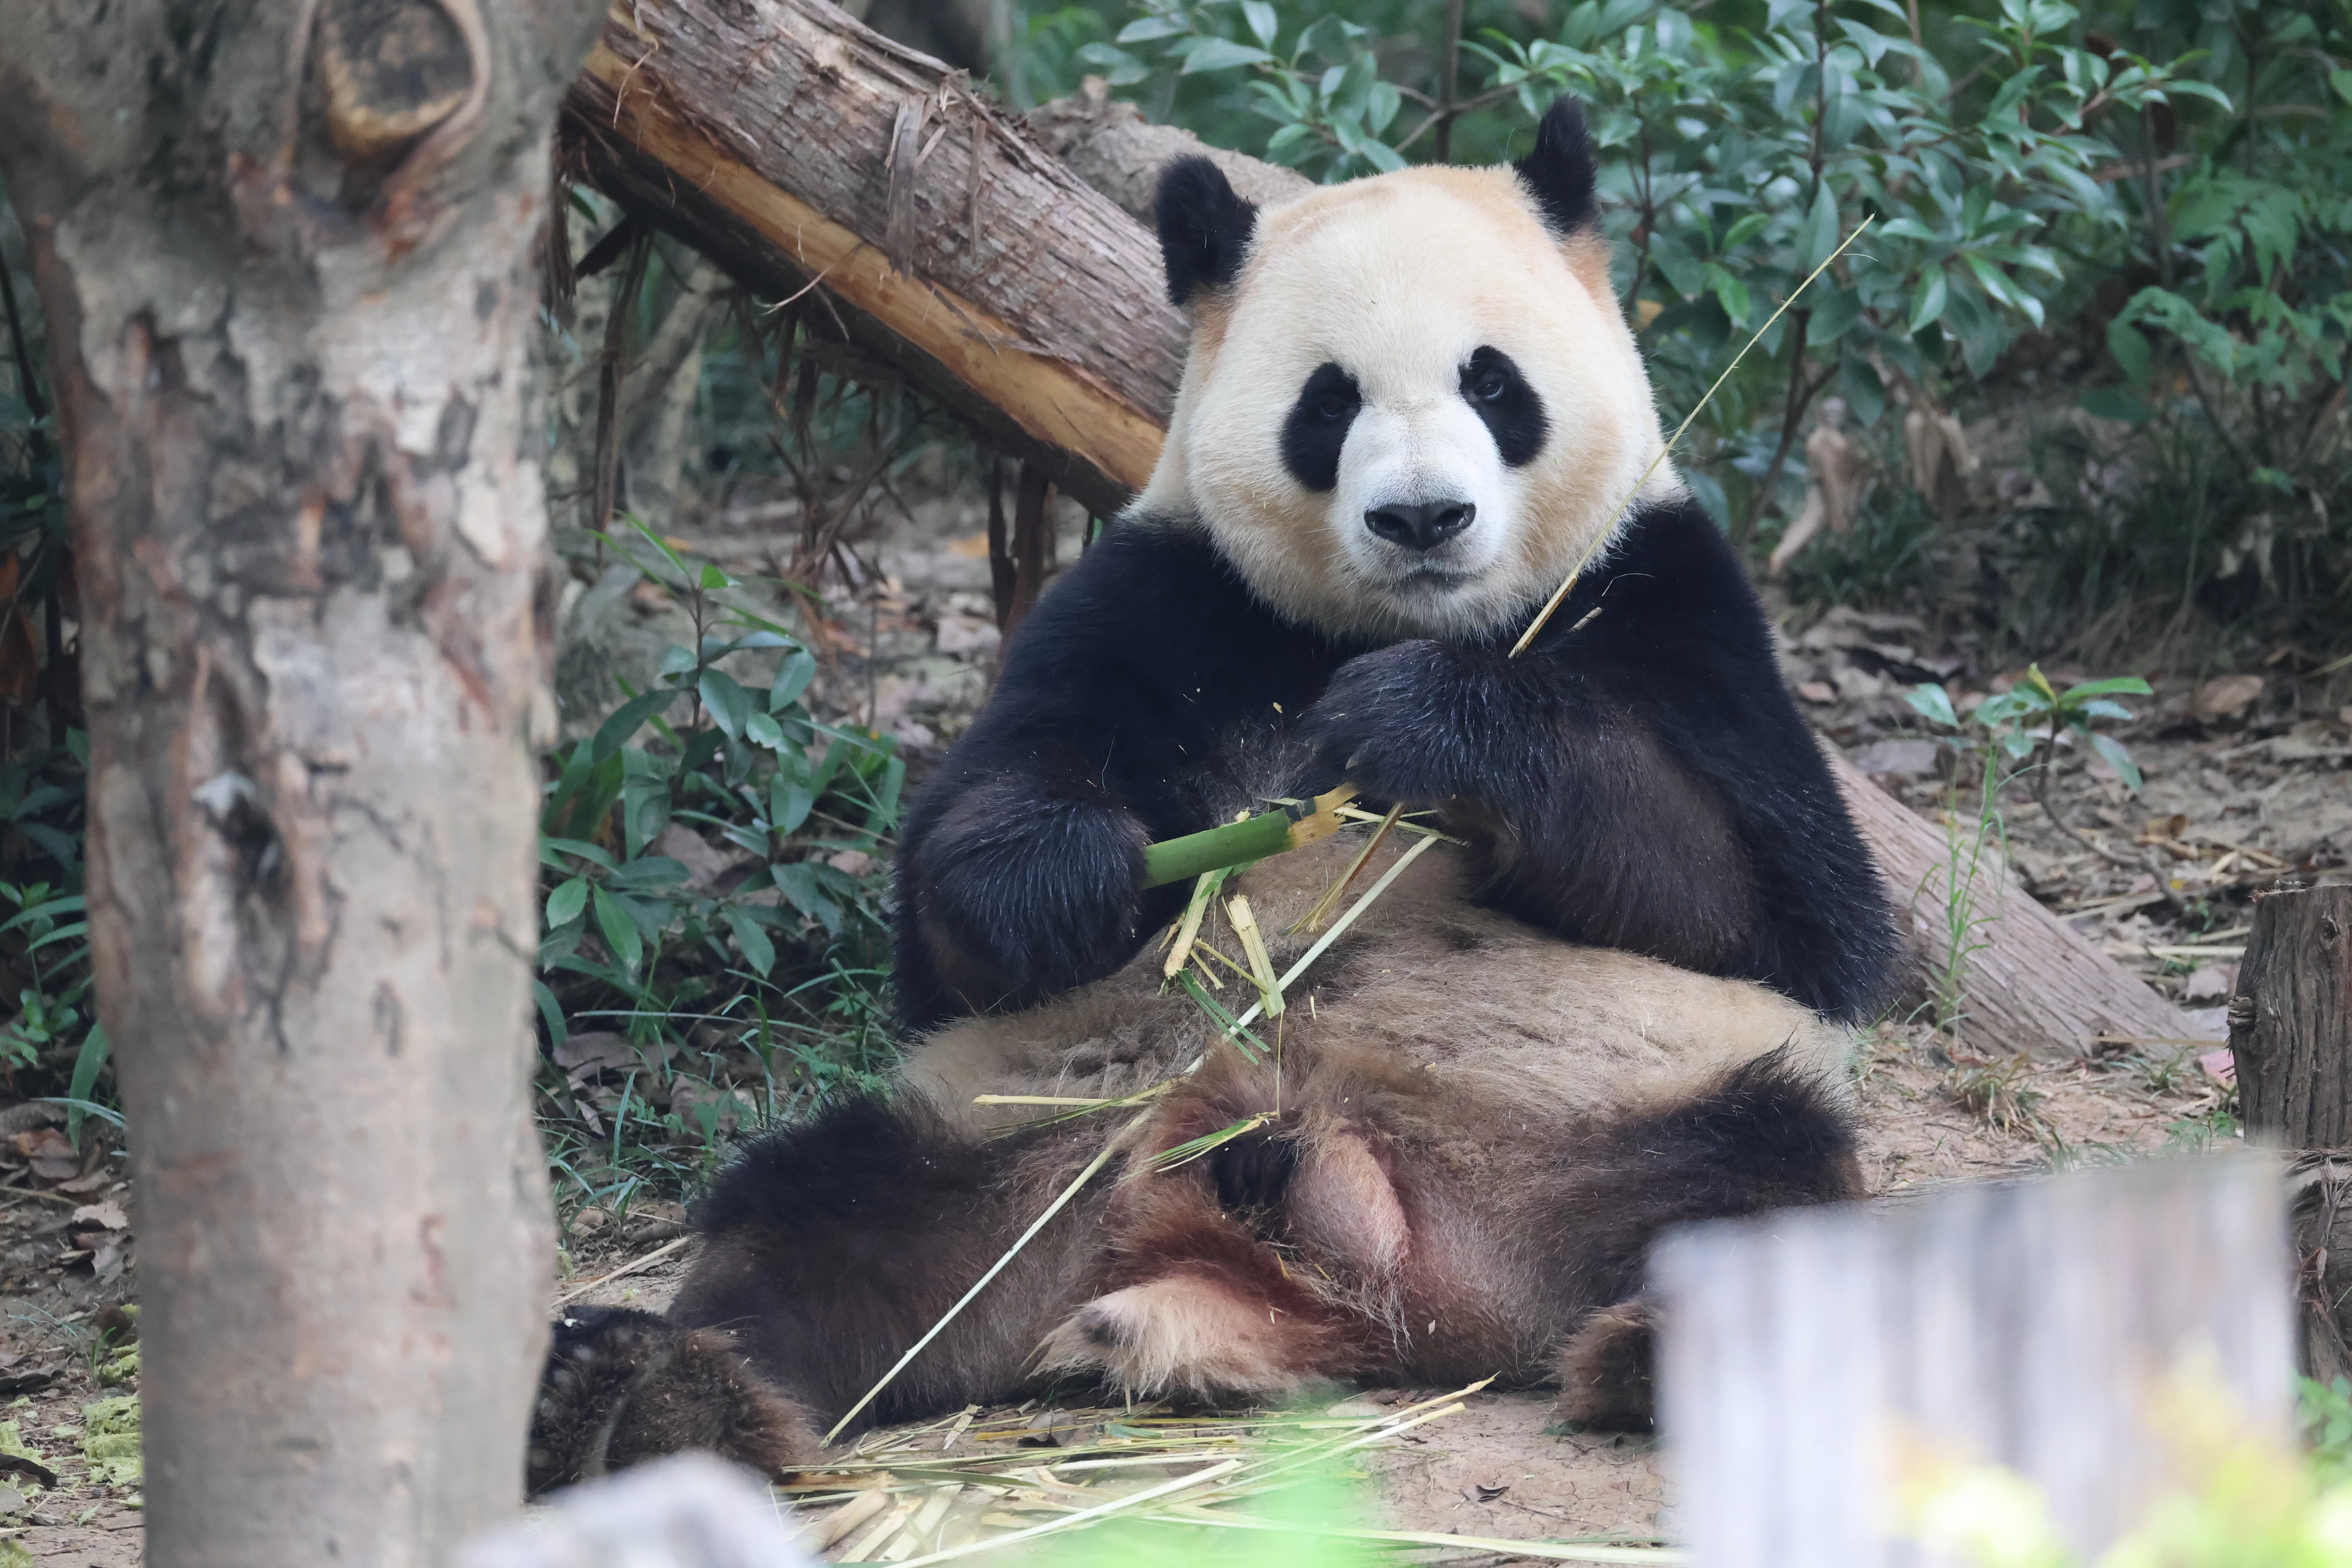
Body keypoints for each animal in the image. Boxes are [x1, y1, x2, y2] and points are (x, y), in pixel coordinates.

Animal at [525, 98, 1898, 1494]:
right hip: (1013, 1143)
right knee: (812, 1213)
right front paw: (1070, 873)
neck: (1383, 625)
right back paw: (646, 1394)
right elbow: (951, 922)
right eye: (1328, 401)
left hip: (1634, 1110)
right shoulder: (1154, 595)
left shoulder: (1670, 598)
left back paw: (1663, 1349)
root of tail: (1369, 1276)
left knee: (1759, 1196)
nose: (1421, 517)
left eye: (1493, 383)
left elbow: (1792, 912)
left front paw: (1425, 730)